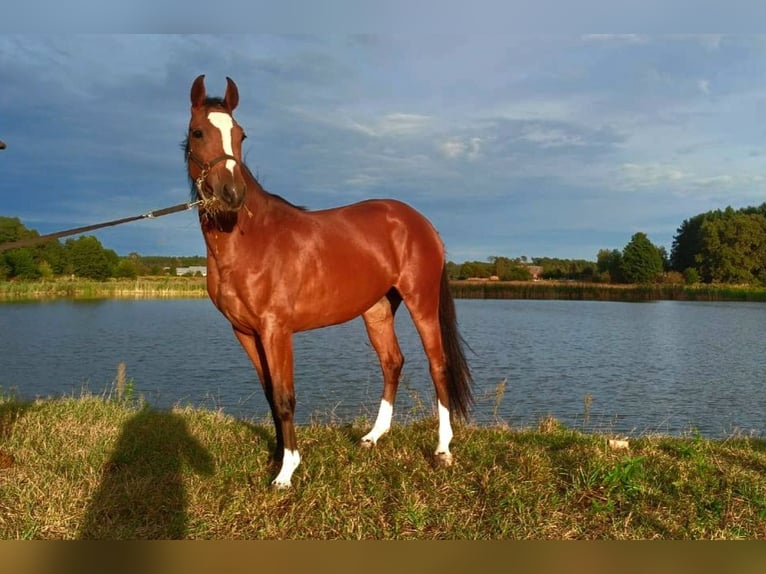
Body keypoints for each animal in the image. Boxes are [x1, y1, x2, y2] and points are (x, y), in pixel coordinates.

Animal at [186, 74, 474, 488]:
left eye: (240, 135)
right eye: (198, 132)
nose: (232, 194)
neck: (251, 238)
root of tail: (419, 222)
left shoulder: (276, 329)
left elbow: (285, 397)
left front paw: (286, 471)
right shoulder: (245, 332)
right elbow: (269, 394)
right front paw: (276, 456)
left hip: (422, 301)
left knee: (438, 366)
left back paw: (442, 450)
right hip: (377, 309)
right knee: (392, 362)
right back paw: (373, 437)